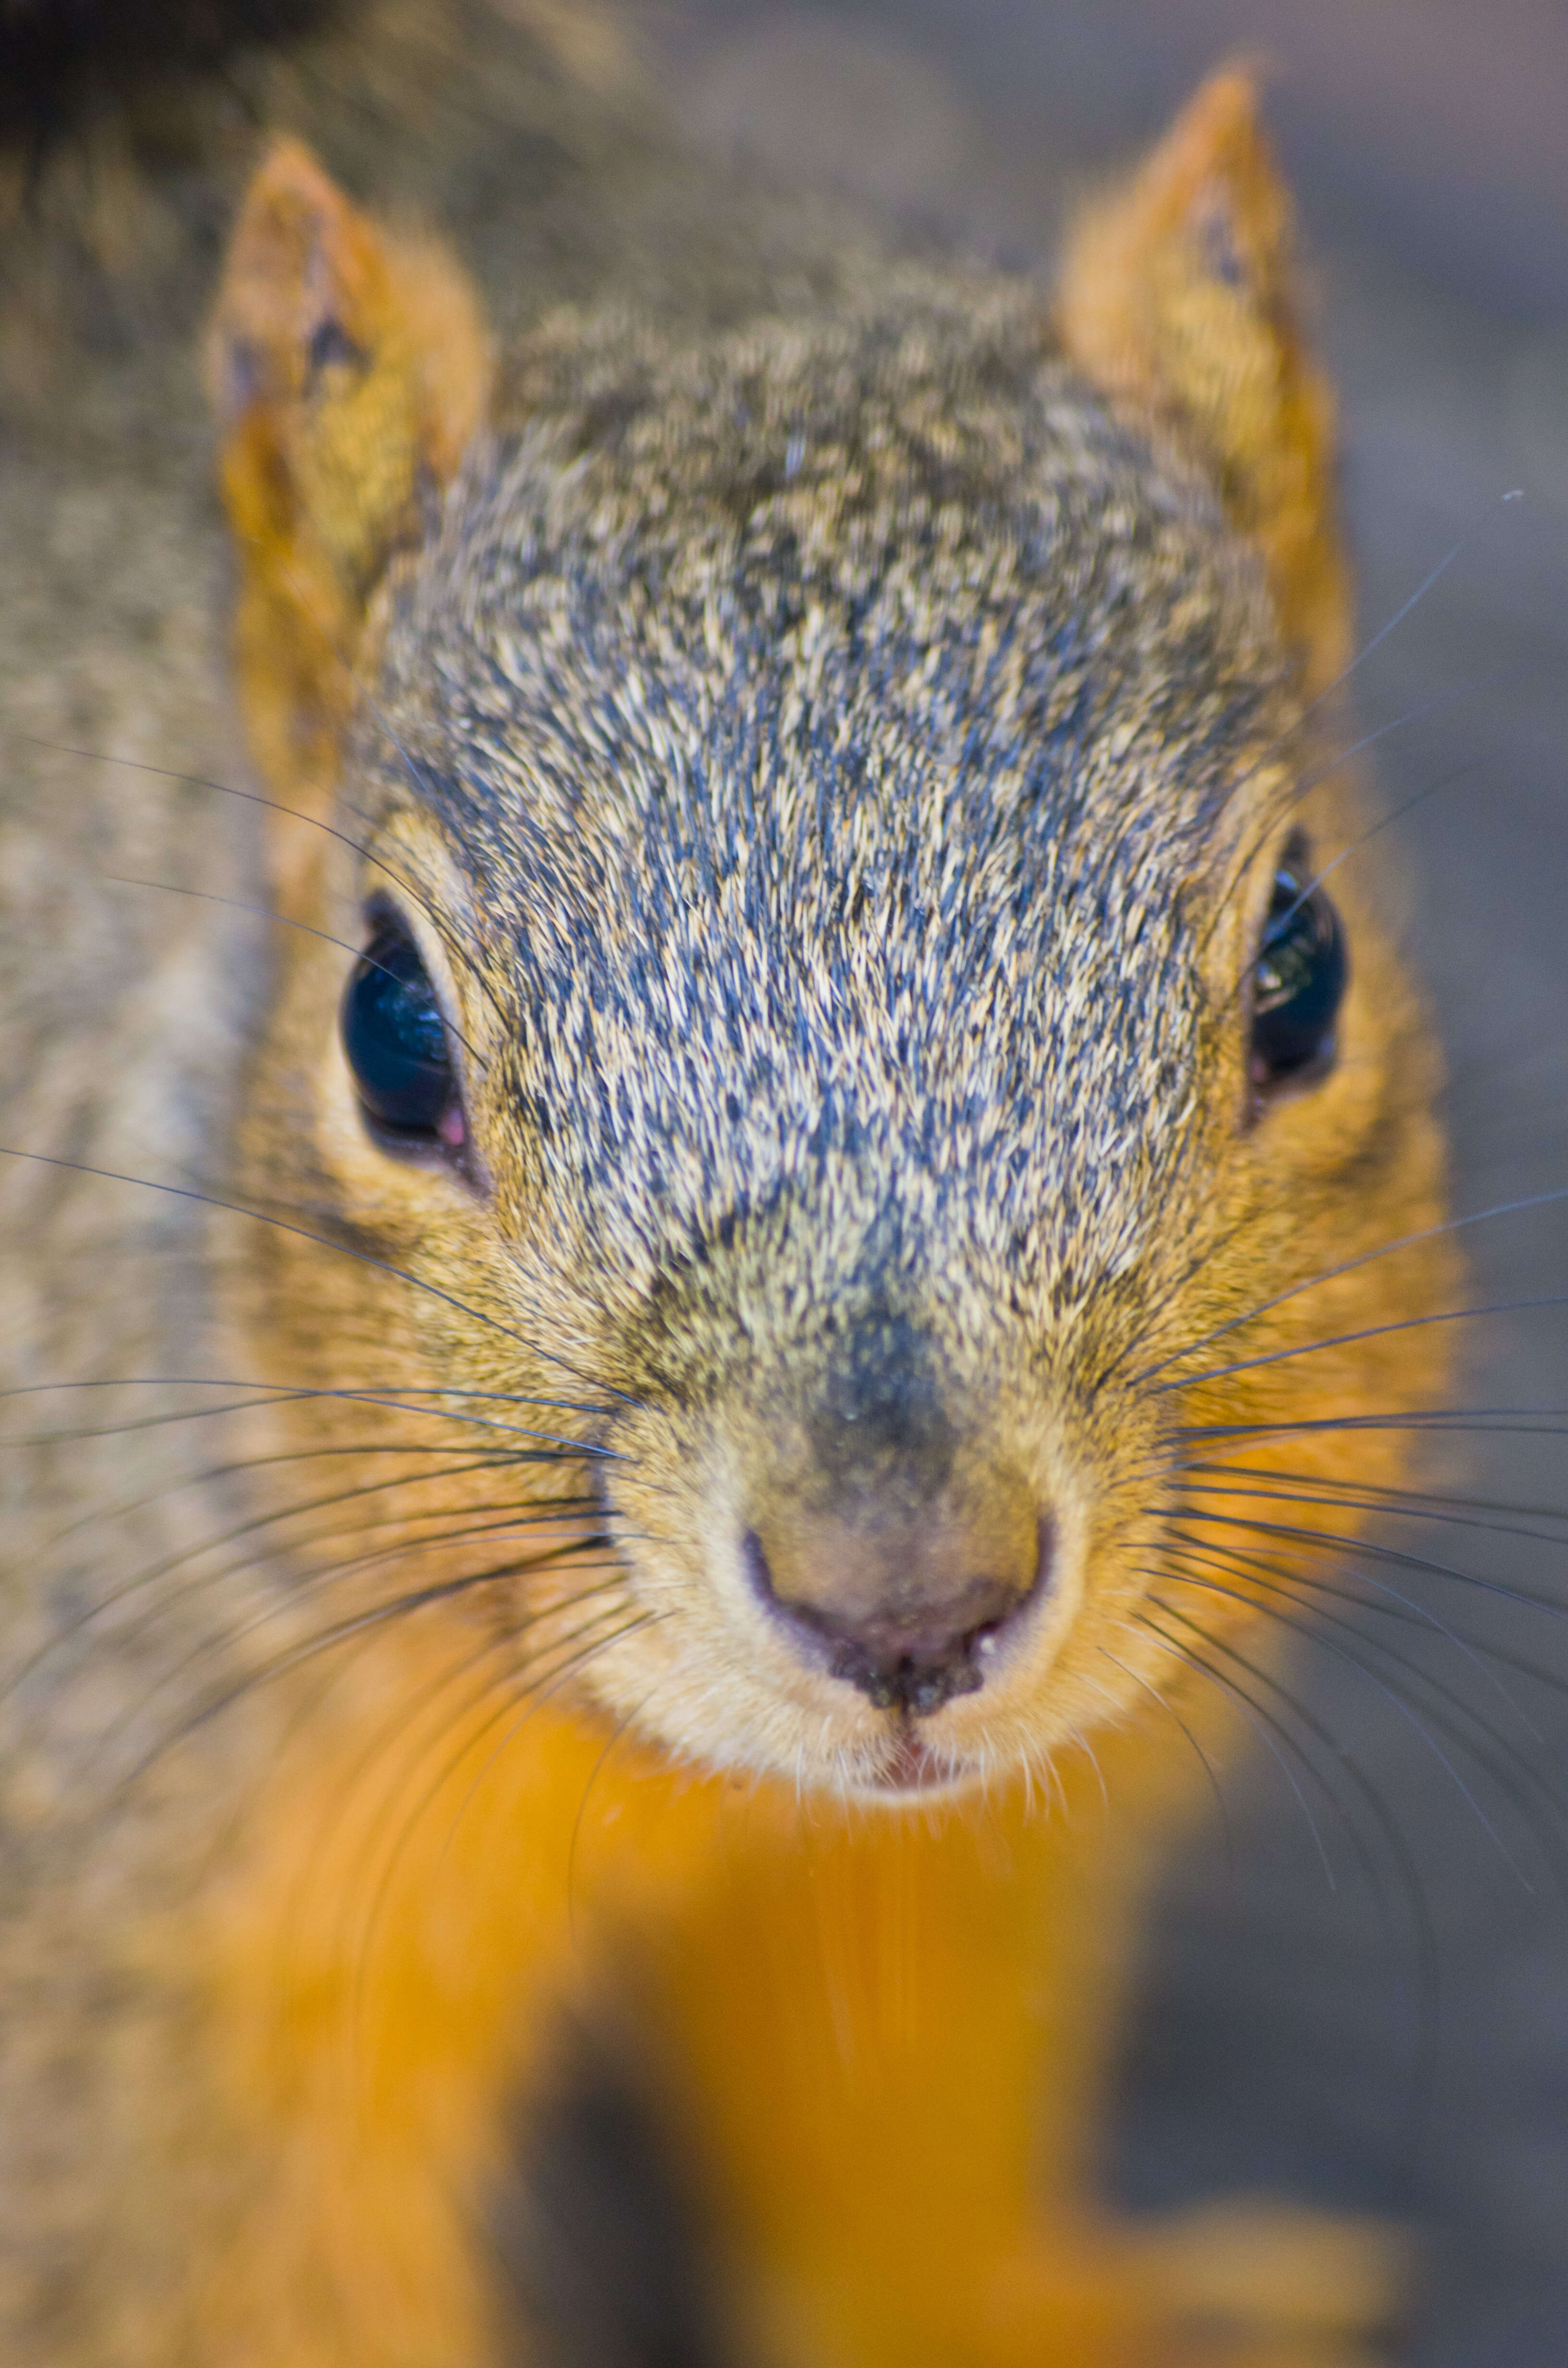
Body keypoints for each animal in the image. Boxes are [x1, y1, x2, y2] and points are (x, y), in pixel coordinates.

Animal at [0, 4, 1468, 2368]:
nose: (905, 1600)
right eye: (385, 1030)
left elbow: (898, 2093)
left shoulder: (959, 1846)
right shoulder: (129, 1968)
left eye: (1304, 967)